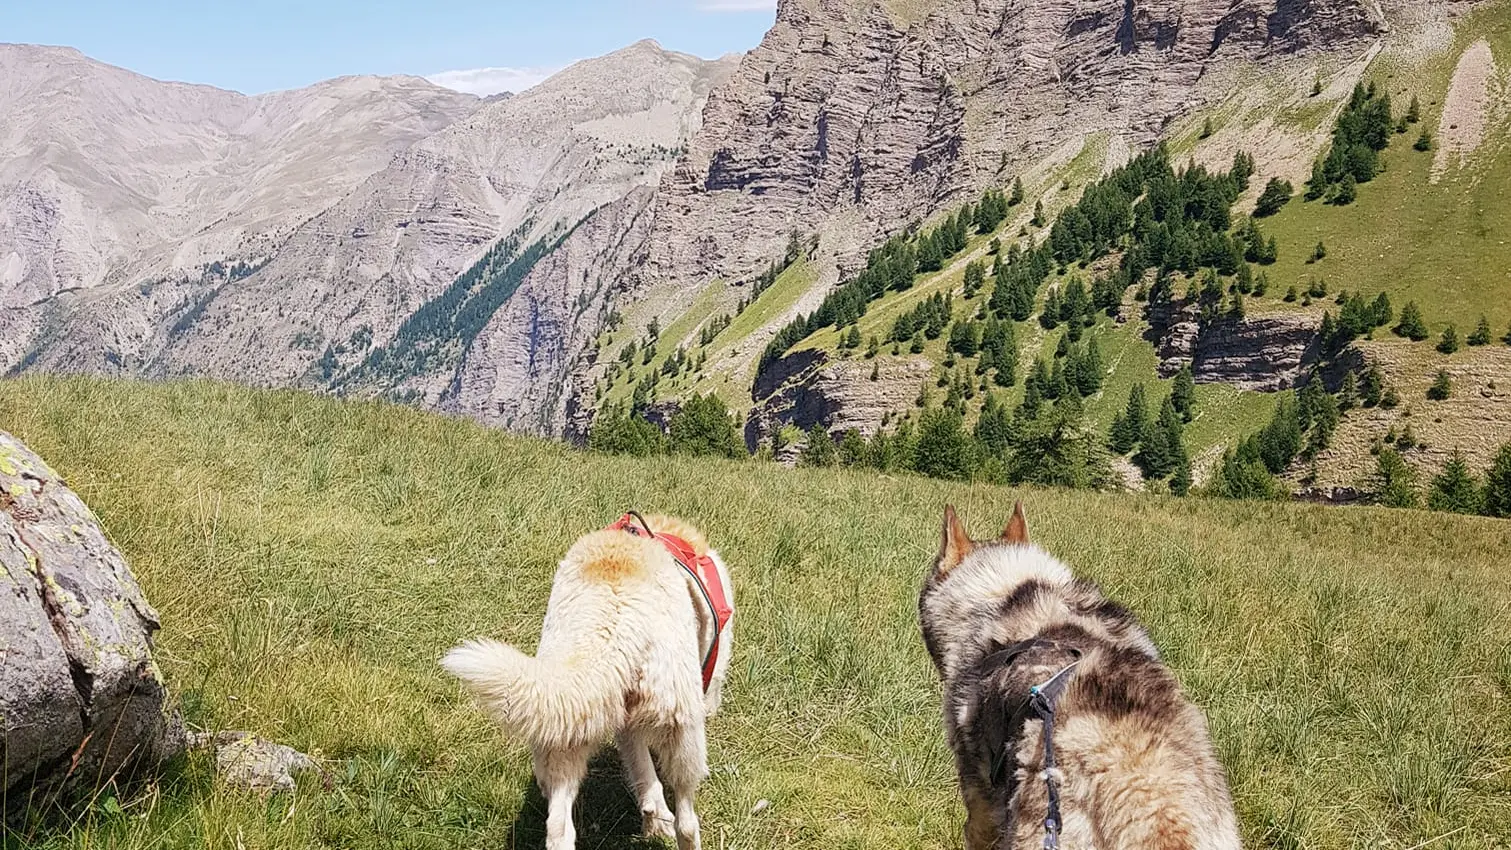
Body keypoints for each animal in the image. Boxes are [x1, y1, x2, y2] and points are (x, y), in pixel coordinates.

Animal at [441, 516, 731, 850]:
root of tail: (614, 617)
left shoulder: (625, 724)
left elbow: (644, 777)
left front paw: (653, 819)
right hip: (682, 731)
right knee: (687, 821)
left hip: (565, 727)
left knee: (558, 828)